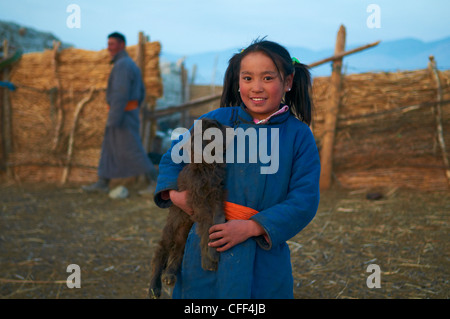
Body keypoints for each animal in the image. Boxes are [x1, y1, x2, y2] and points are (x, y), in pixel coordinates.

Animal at [149, 118, 229, 300]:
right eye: (215, 129)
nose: (232, 129)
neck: (207, 166)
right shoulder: (197, 201)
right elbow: (206, 224)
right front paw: (209, 258)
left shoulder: (217, 195)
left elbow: (217, 219)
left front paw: (212, 252)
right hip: (171, 228)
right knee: (160, 252)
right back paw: (154, 288)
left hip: (183, 234)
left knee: (178, 251)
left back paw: (170, 275)